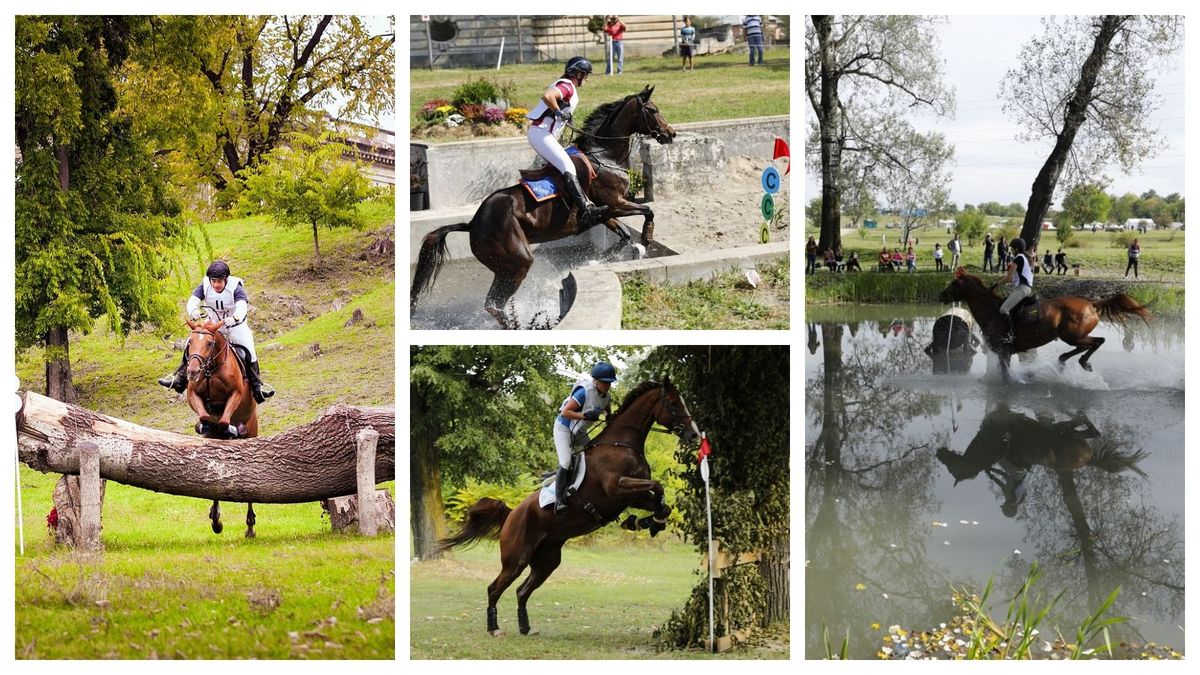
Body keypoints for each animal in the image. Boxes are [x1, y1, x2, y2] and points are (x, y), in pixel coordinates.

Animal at [184, 318, 259, 538]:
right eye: (190, 342)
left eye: (209, 344)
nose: (192, 372)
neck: (211, 369)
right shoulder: (193, 395)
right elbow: (204, 415)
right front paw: (204, 425)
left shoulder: (236, 393)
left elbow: (225, 420)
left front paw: (229, 429)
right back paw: (216, 520)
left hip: (252, 432)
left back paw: (250, 527)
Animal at [410, 85, 677, 328]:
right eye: (653, 110)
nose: (671, 134)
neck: (605, 156)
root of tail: (473, 223)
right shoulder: (616, 203)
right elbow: (648, 212)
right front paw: (646, 239)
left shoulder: (604, 212)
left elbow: (623, 236)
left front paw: (606, 258)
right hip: (517, 262)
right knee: (493, 304)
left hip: (504, 267)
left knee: (494, 304)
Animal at [438, 376, 701, 636]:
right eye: (673, 404)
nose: (694, 436)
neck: (621, 445)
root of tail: (512, 514)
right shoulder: (618, 488)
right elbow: (658, 486)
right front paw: (643, 522)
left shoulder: (633, 496)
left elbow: (661, 502)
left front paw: (645, 522)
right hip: (516, 559)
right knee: (494, 588)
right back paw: (494, 629)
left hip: (547, 561)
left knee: (522, 591)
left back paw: (525, 628)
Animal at [937, 268, 1151, 380]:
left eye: (954, 284)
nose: (941, 295)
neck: (991, 311)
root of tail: (1091, 304)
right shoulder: (1003, 353)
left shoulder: (1004, 351)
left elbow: (1005, 376)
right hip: (1074, 336)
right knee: (1087, 345)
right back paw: (1065, 361)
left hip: (1073, 336)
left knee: (1097, 341)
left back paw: (1081, 362)